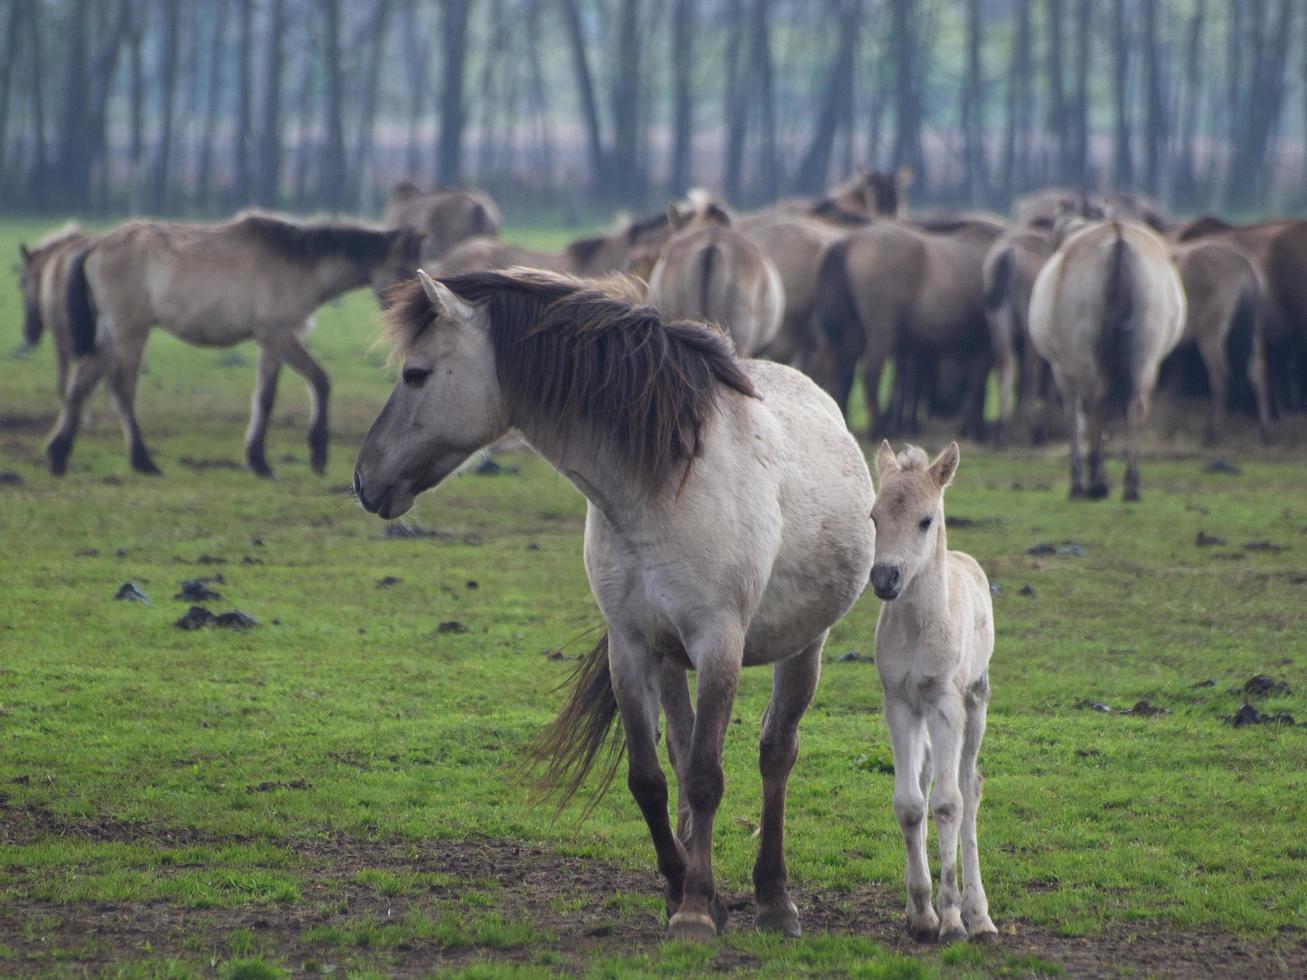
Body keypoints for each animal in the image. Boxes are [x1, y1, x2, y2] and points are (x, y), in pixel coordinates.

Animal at [352, 265, 873, 940]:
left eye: (415, 373)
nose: (363, 479)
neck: (663, 485)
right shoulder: (631, 645)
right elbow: (651, 777)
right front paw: (682, 890)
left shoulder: (719, 643)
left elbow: (706, 777)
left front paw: (696, 912)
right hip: (671, 659)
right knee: (683, 747)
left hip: (804, 645)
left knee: (775, 754)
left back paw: (774, 900)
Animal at [1029, 220, 1186, 499]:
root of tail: (1118, 235)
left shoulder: (1063, 371)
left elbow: (1074, 418)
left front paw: (1077, 477)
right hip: (1145, 358)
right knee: (1135, 407)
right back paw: (1131, 483)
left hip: (1084, 359)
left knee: (1095, 403)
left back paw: (1094, 481)